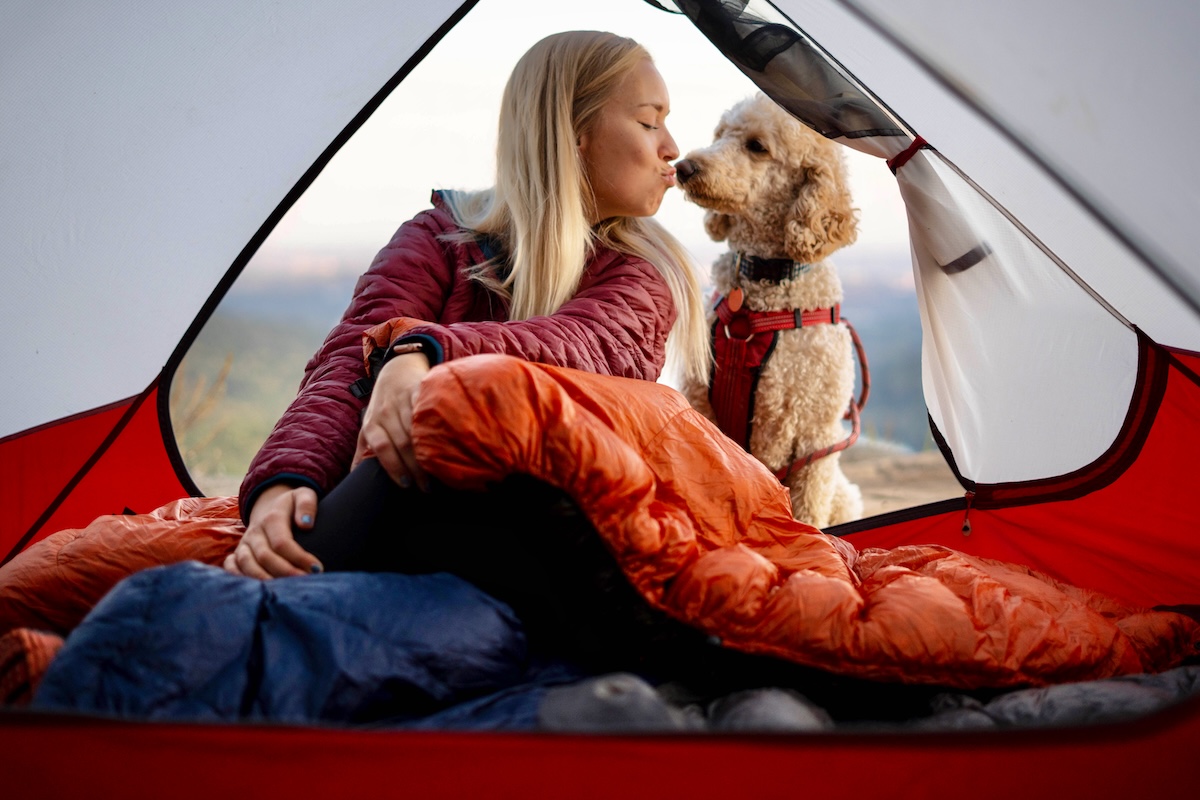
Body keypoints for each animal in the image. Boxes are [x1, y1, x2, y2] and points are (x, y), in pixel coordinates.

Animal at [676, 94, 864, 527]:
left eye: (757, 147)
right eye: (720, 134)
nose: (684, 167)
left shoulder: (815, 436)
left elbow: (808, 509)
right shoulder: (700, 404)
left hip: (843, 495)